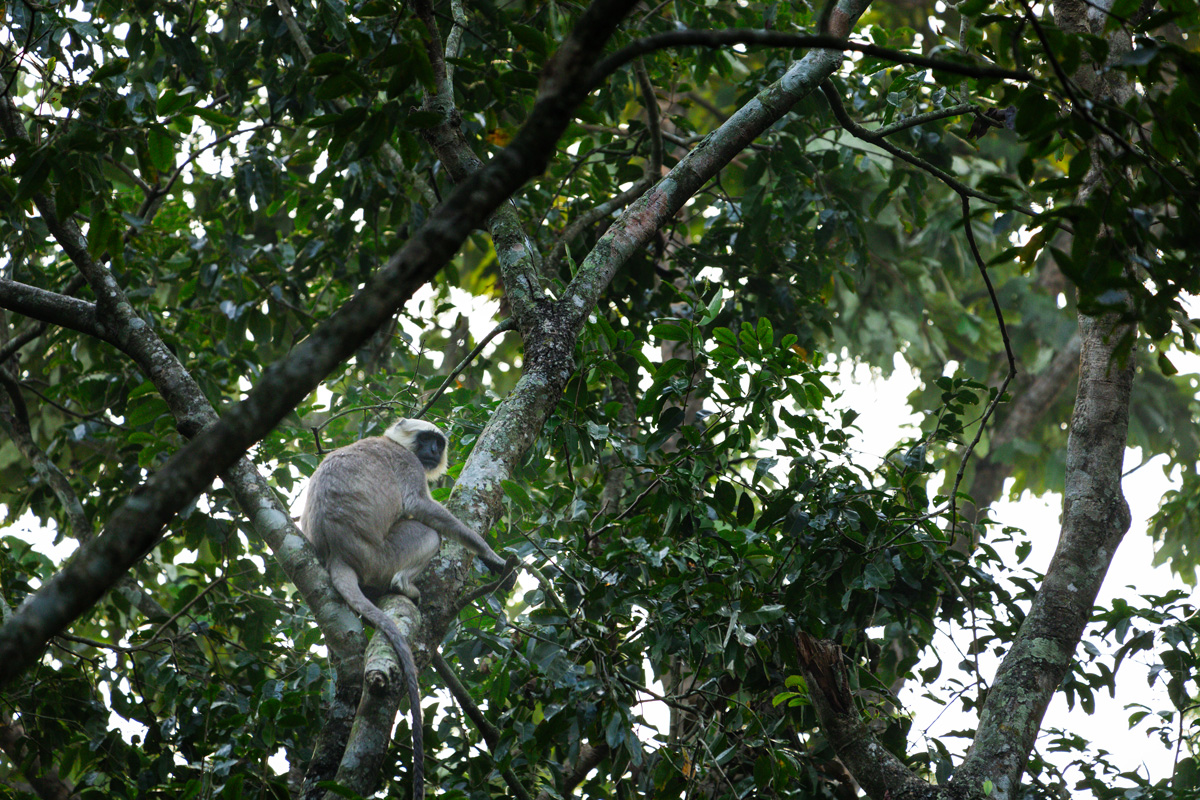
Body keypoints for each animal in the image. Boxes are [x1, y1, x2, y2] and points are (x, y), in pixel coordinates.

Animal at [300, 417, 513, 800]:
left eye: (438, 444)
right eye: (426, 440)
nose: (432, 451)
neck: (394, 442)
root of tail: (337, 554)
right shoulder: (407, 464)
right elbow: (423, 507)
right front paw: (492, 557)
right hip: (382, 556)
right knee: (428, 533)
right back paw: (404, 587)